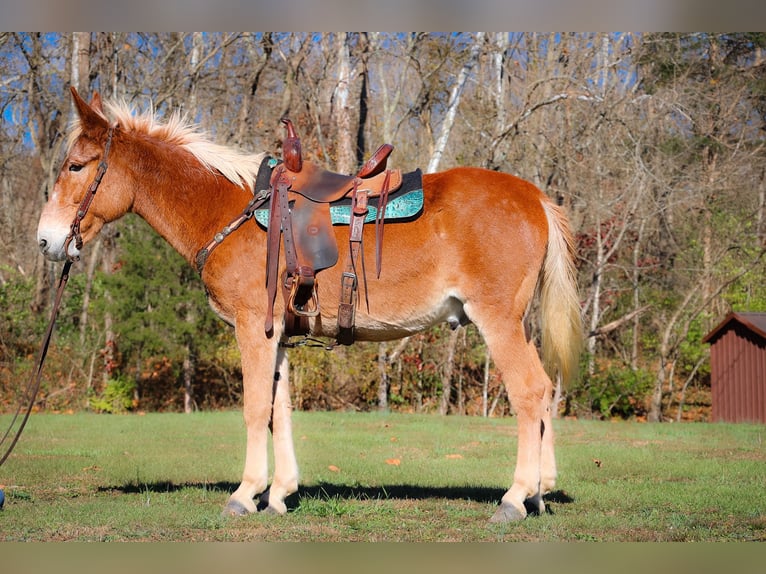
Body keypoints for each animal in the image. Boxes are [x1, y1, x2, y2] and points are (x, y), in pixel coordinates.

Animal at [37, 87, 582, 522]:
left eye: (76, 166)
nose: (45, 241)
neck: (228, 208)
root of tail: (535, 197)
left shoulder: (253, 328)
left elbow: (255, 408)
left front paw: (245, 493)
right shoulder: (276, 334)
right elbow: (279, 410)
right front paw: (279, 493)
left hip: (497, 320)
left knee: (530, 392)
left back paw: (515, 497)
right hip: (518, 323)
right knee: (544, 392)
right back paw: (538, 492)